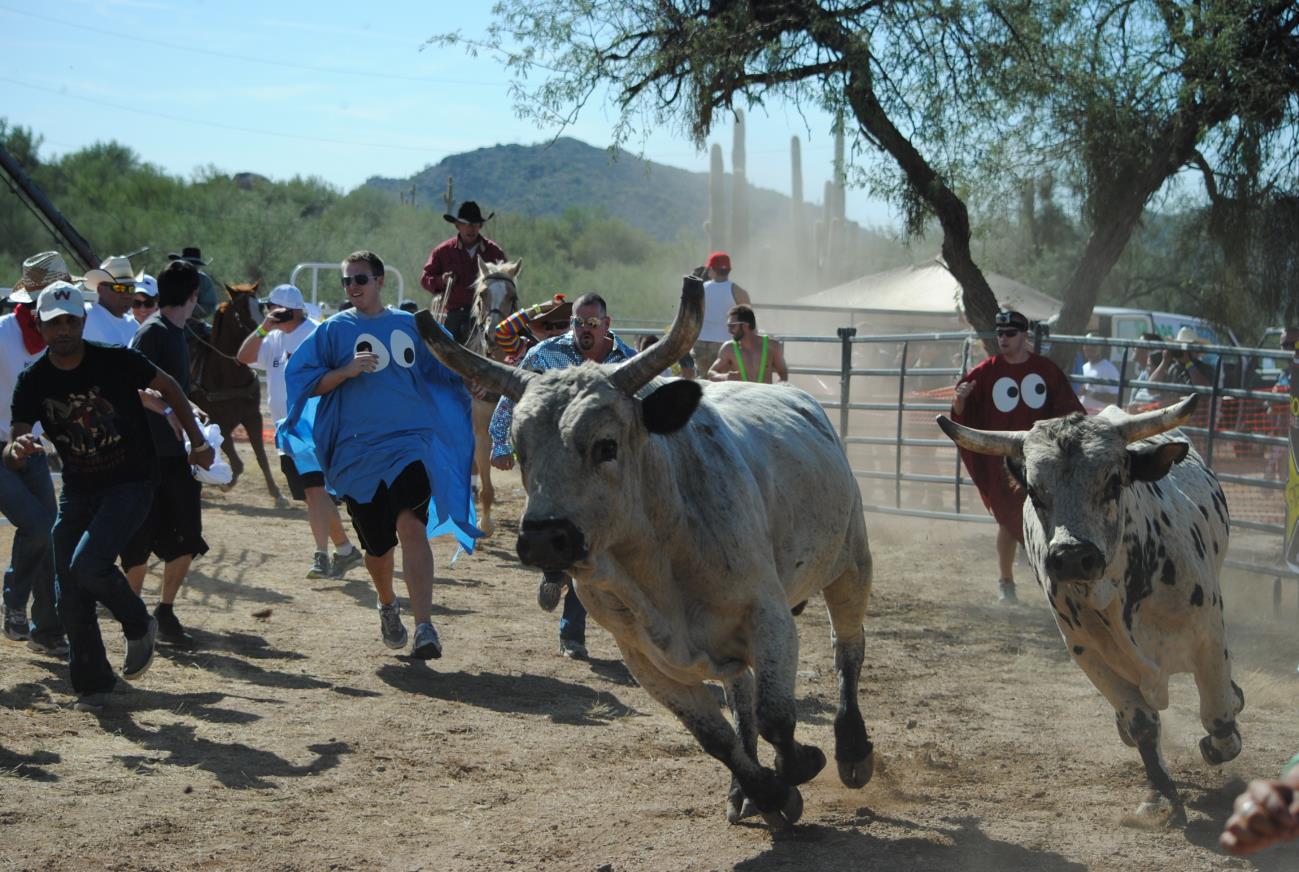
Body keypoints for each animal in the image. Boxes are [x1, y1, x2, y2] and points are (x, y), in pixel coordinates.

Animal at [188, 283, 287, 509]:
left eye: (259, 306)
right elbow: (236, 461)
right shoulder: (217, 421)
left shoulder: (253, 417)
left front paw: (277, 494)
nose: (263, 336)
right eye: (241, 308)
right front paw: (226, 483)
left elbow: (261, 456)